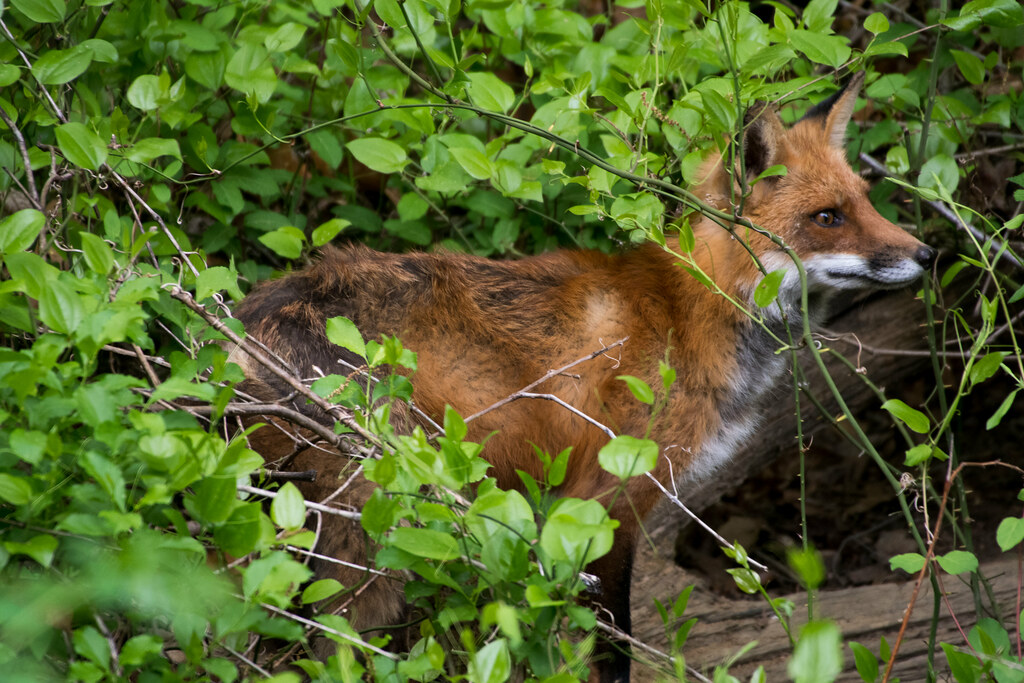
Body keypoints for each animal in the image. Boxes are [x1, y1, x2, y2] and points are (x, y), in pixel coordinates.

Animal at [232, 71, 935, 681]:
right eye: (827, 217)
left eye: (866, 202)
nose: (928, 253)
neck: (692, 311)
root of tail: (236, 326)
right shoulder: (607, 499)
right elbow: (613, 646)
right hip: (369, 541)